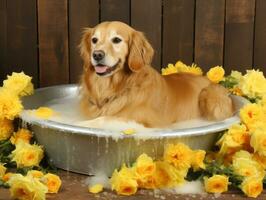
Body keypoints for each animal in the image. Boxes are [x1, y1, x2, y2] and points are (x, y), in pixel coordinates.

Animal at [79, 21, 233, 127]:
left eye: (116, 40)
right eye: (94, 40)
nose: (97, 55)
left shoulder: (145, 120)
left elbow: (104, 119)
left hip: (210, 96)